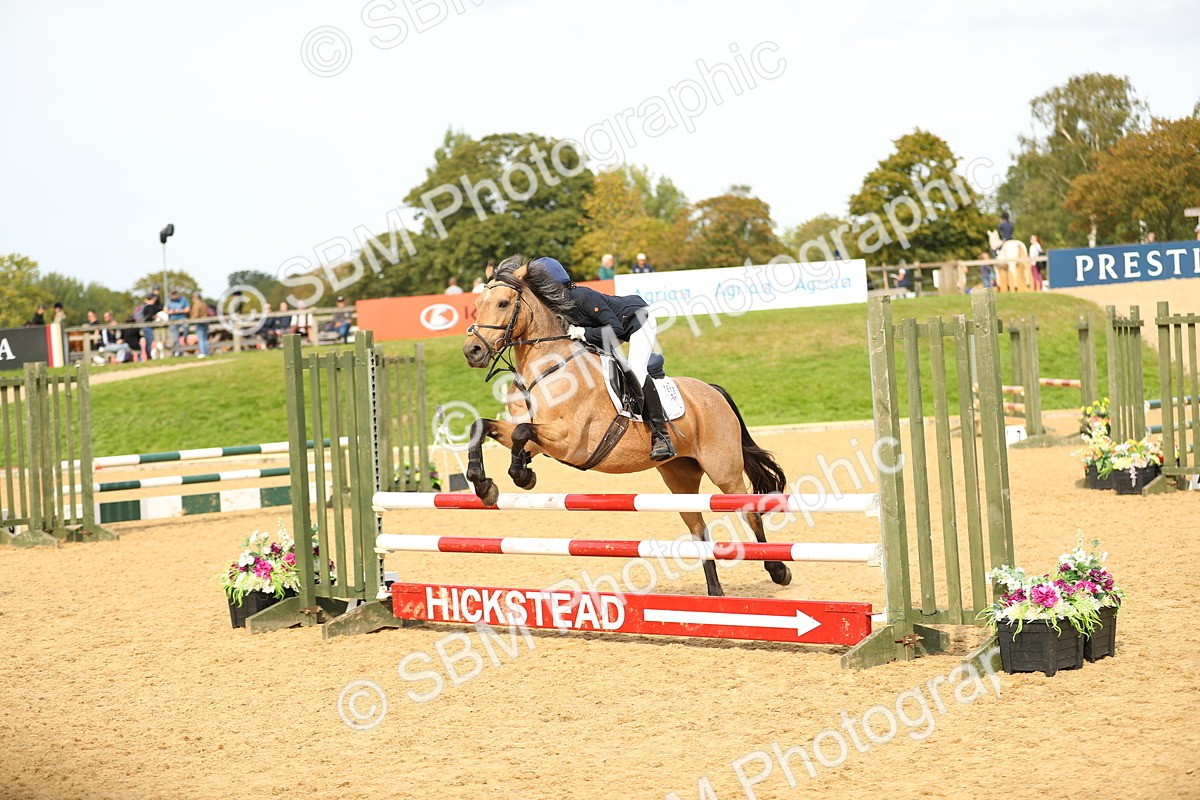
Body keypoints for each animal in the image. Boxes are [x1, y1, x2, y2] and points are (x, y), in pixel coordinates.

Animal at [460, 255, 792, 597]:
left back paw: (778, 570)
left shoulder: (569, 441)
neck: (550, 368)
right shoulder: (541, 439)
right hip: (679, 478)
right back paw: (715, 594)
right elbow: (483, 427)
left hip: (723, 471)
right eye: (477, 304)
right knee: (699, 529)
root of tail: (712, 391)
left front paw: (521, 476)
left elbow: (522, 432)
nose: (472, 351)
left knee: (749, 511)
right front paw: (484, 485)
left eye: (503, 303)